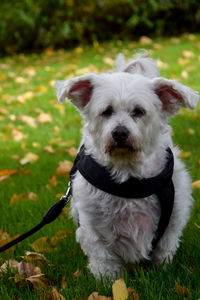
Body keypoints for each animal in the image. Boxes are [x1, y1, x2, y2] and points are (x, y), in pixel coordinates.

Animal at [54, 52, 198, 278]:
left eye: (138, 111)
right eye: (106, 111)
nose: (120, 133)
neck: (127, 174)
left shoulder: (173, 219)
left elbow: (164, 249)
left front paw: (162, 273)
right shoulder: (93, 227)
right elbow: (104, 260)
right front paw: (108, 281)